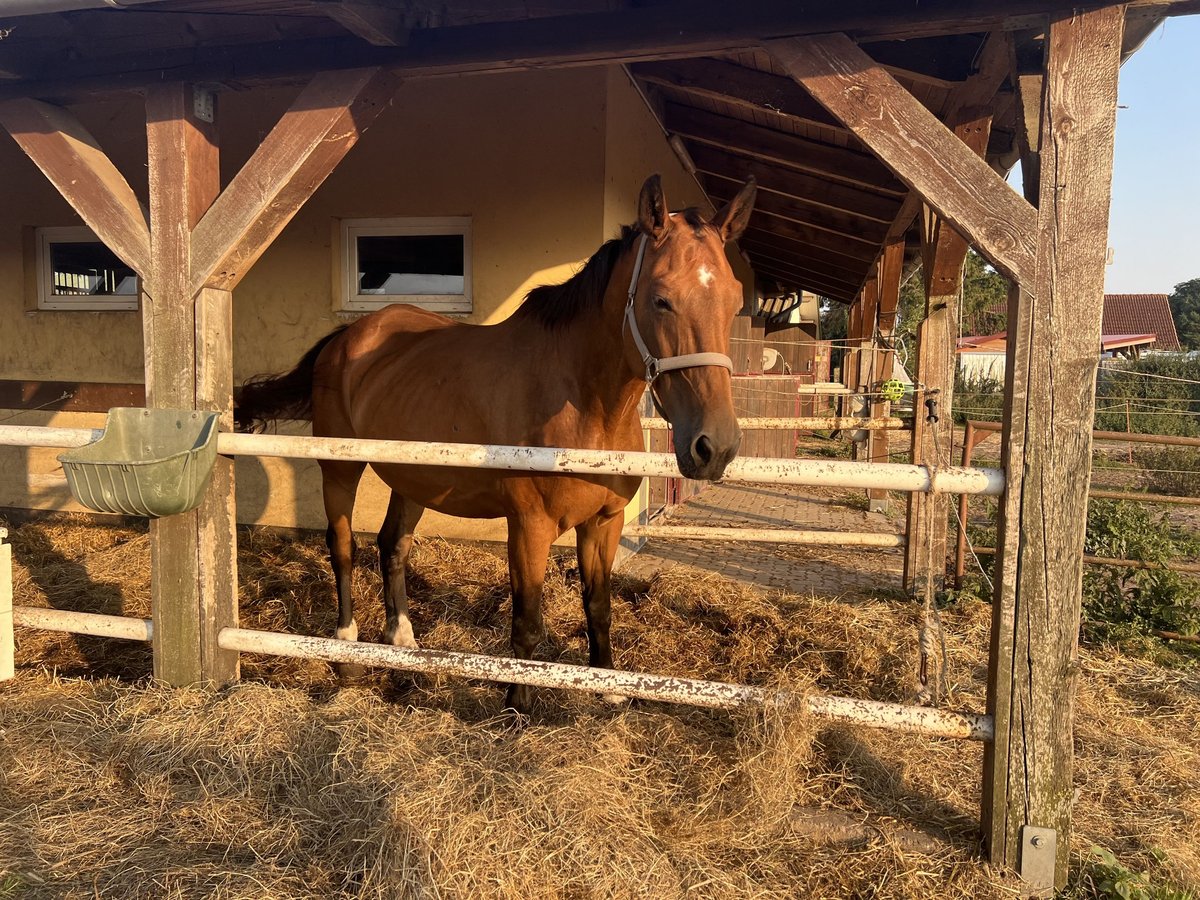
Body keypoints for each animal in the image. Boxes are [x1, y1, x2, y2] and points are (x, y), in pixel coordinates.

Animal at [237, 174, 753, 710]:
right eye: (660, 299)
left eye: (736, 301)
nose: (714, 447)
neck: (585, 406)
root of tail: (347, 337)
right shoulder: (529, 526)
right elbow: (527, 622)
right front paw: (516, 704)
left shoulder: (604, 523)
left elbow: (599, 605)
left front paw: (609, 686)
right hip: (340, 468)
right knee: (342, 548)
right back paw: (346, 652)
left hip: (412, 476)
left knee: (392, 545)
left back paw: (402, 641)